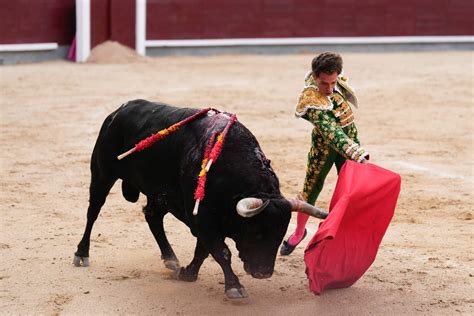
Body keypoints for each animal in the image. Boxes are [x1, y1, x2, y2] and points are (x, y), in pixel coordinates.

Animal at [74, 100, 328, 298]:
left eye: (280, 235)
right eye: (256, 232)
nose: (263, 272)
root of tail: (119, 111)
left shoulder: (205, 221)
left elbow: (204, 250)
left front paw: (188, 272)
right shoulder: (202, 219)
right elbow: (220, 251)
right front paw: (233, 287)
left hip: (159, 194)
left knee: (153, 217)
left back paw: (170, 259)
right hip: (102, 174)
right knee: (93, 211)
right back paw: (82, 254)